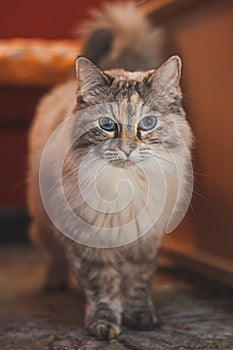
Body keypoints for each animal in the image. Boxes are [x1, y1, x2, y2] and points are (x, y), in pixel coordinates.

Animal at [26, 1, 193, 340]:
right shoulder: (88, 241)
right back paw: (55, 283)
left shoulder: (144, 241)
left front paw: (140, 318)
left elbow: (137, 284)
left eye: (148, 123)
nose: (127, 148)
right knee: (52, 254)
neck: (124, 187)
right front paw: (104, 325)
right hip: (44, 220)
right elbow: (103, 287)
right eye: (107, 125)